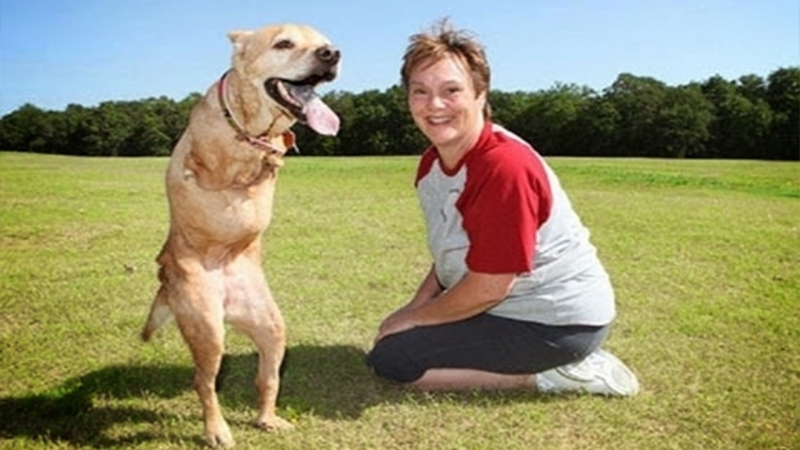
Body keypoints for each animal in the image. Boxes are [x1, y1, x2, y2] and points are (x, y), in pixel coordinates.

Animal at [141, 23, 340, 446]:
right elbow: (218, 167)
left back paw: (267, 418)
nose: (332, 54)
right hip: (207, 328)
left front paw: (271, 157)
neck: (251, 125)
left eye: (324, 42)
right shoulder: (207, 164)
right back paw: (217, 430)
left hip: (271, 328)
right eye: (284, 43)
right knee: (203, 382)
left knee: (266, 379)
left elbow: (271, 157)